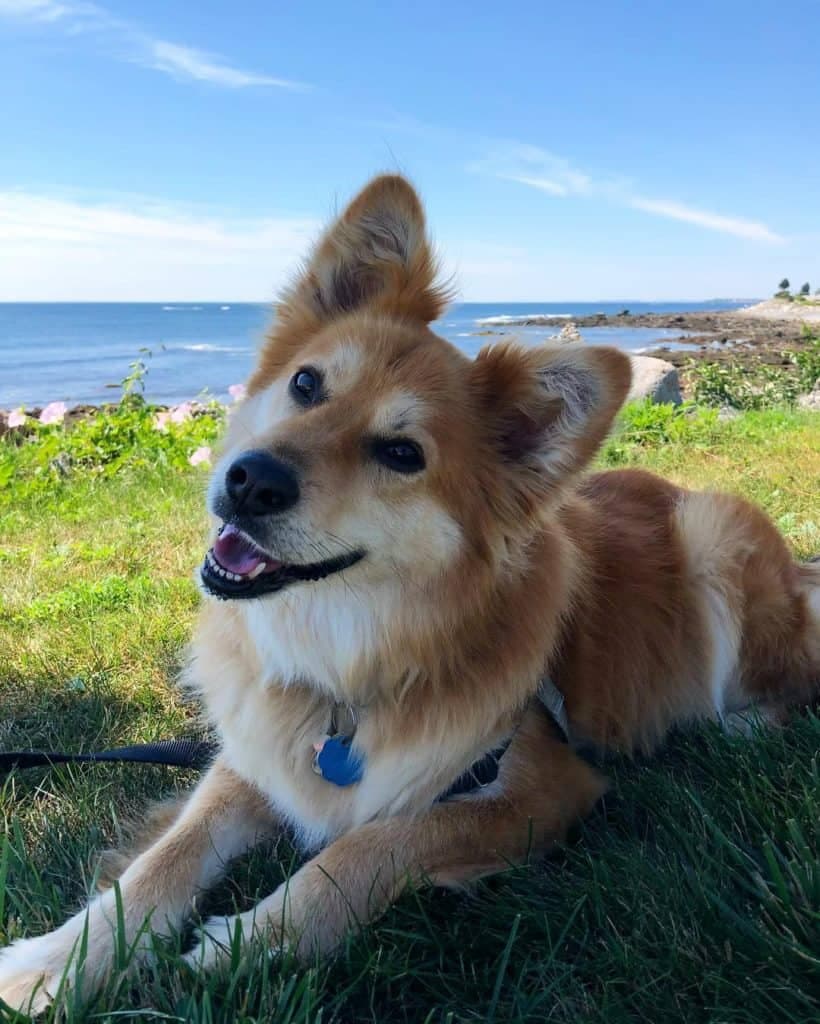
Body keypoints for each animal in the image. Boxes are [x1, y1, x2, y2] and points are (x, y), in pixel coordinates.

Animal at [1, 174, 818, 1007]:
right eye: (306, 383)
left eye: (401, 453)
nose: (250, 481)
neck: (345, 656)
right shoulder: (255, 755)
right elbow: (164, 856)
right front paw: (60, 959)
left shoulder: (539, 787)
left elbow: (372, 846)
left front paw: (248, 940)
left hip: (714, 532)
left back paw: (741, 723)